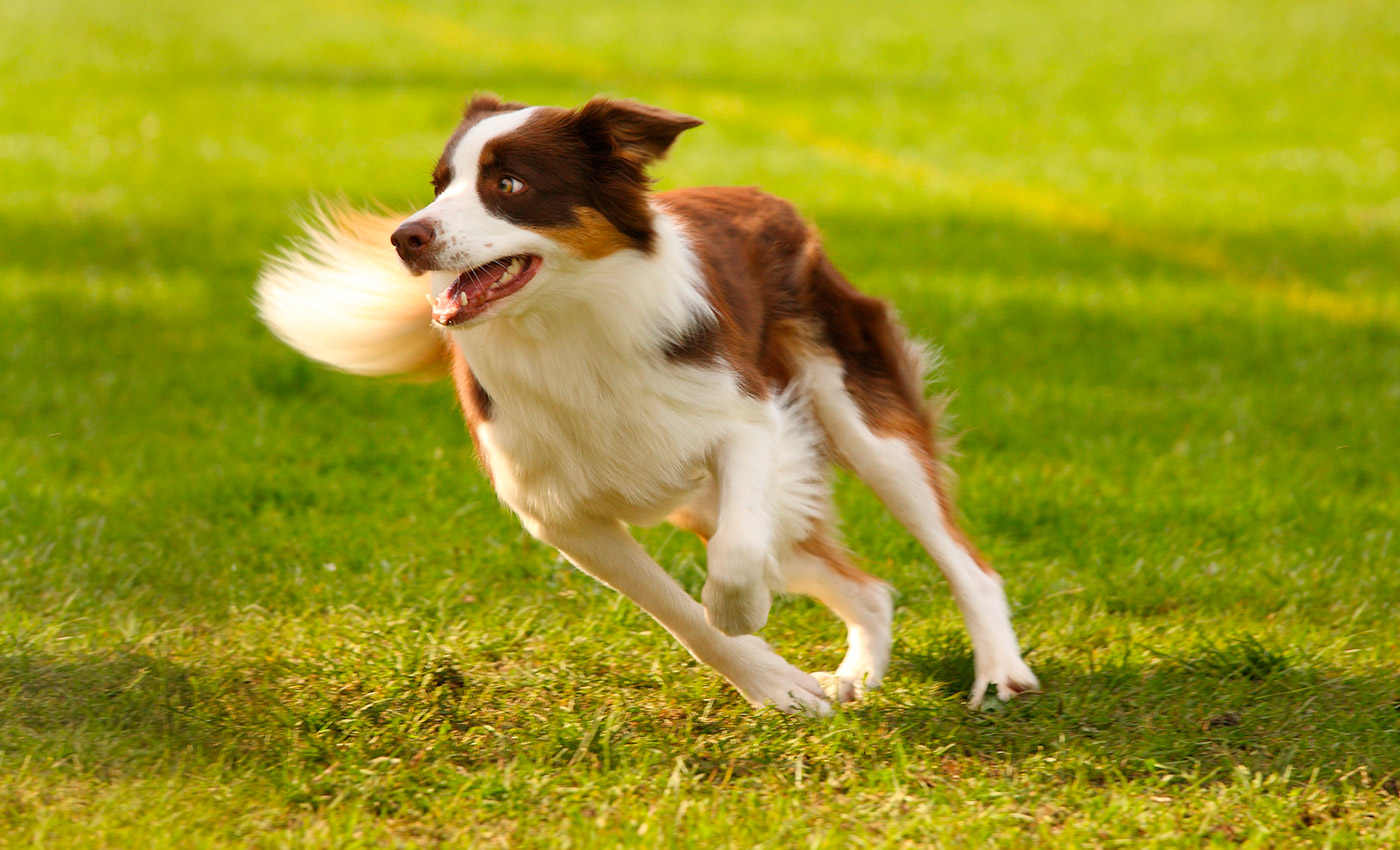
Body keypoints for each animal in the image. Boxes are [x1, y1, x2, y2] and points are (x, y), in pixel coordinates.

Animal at [257, 96, 1036, 714]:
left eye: (508, 184)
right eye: (439, 185)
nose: (405, 237)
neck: (568, 329)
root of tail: (763, 197)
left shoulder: (750, 422)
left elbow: (735, 558)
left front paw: (744, 606)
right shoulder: (560, 515)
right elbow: (679, 612)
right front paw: (776, 684)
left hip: (856, 414)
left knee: (962, 557)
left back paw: (1000, 673)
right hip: (704, 498)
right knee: (868, 587)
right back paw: (856, 675)